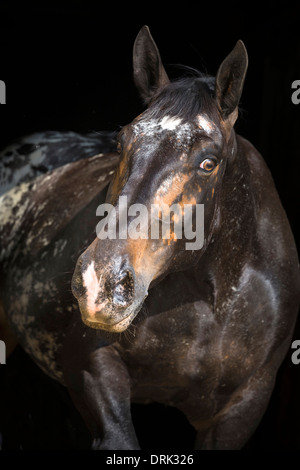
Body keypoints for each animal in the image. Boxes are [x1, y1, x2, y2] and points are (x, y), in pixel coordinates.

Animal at [0, 26, 300, 452]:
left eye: (209, 162)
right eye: (121, 141)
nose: (100, 283)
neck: (208, 302)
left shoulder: (242, 408)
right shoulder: (95, 374)